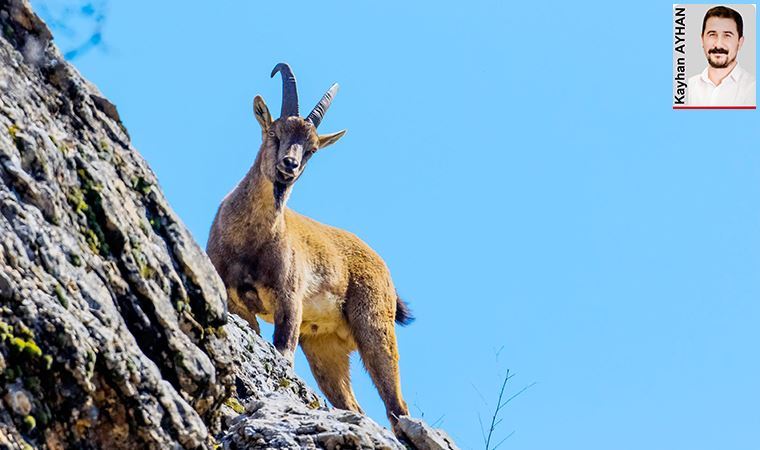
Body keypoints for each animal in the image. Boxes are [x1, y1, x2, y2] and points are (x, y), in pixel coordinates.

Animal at [205, 64, 412, 432]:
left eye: (312, 149)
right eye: (275, 133)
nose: (289, 164)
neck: (250, 242)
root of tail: (383, 267)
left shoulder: (289, 299)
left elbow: (283, 353)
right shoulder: (236, 302)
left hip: (374, 325)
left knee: (397, 407)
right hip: (324, 345)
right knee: (354, 405)